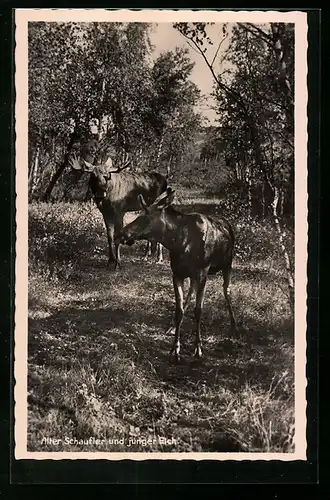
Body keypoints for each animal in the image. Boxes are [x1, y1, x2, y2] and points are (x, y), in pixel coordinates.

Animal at [116, 186, 237, 362]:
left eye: (145, 217)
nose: (122, 234)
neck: (179, 243)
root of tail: (228, 224)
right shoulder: (177, 274)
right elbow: (179, 309)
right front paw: (175, 348)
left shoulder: (203, 272)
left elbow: (198, 310)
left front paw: (198, 348)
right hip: (194, 275)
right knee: (191, 293)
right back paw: (172, 326)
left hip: (227, 264)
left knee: (227, 291)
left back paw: (234, 326)